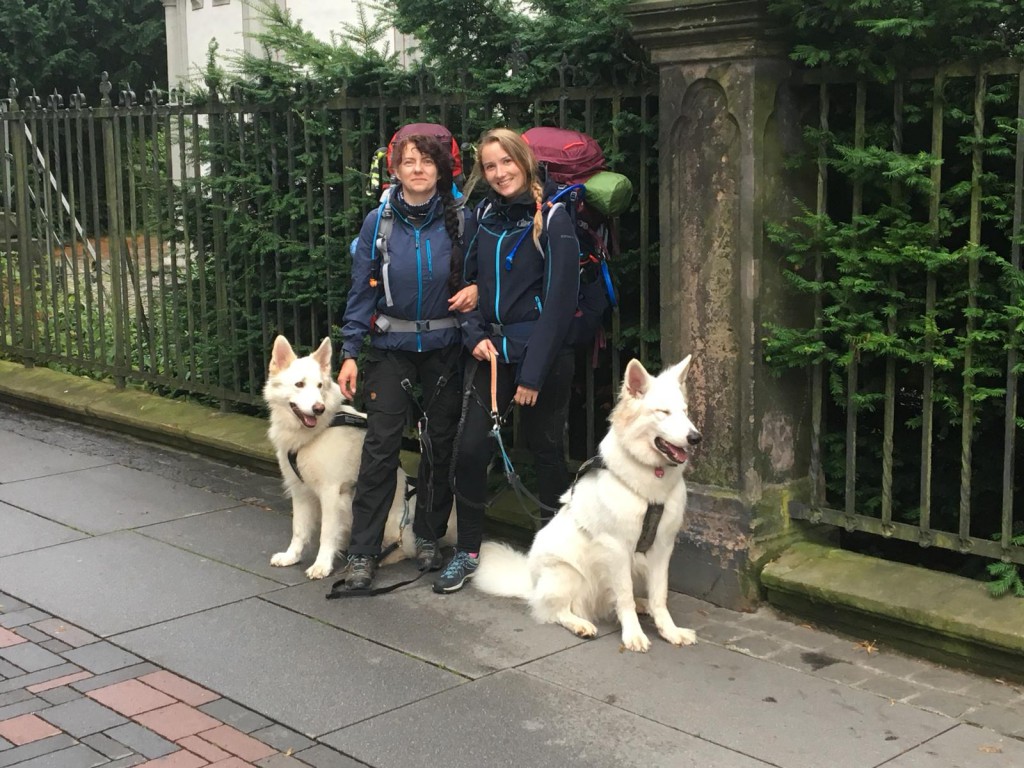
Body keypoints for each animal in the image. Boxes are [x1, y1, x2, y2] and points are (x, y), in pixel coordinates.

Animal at [473, 358, 700, 651]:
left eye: (685, 412)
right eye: (663, 412)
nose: (696, 437)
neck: (650, 482)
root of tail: (532, 584)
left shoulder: (662, 548)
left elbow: (659, 596)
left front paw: (670, 631)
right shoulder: (617, 548)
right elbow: (624, 596)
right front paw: (634, 635)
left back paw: (643, 605)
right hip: (567, 573)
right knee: (554, 611)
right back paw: (581, 624)